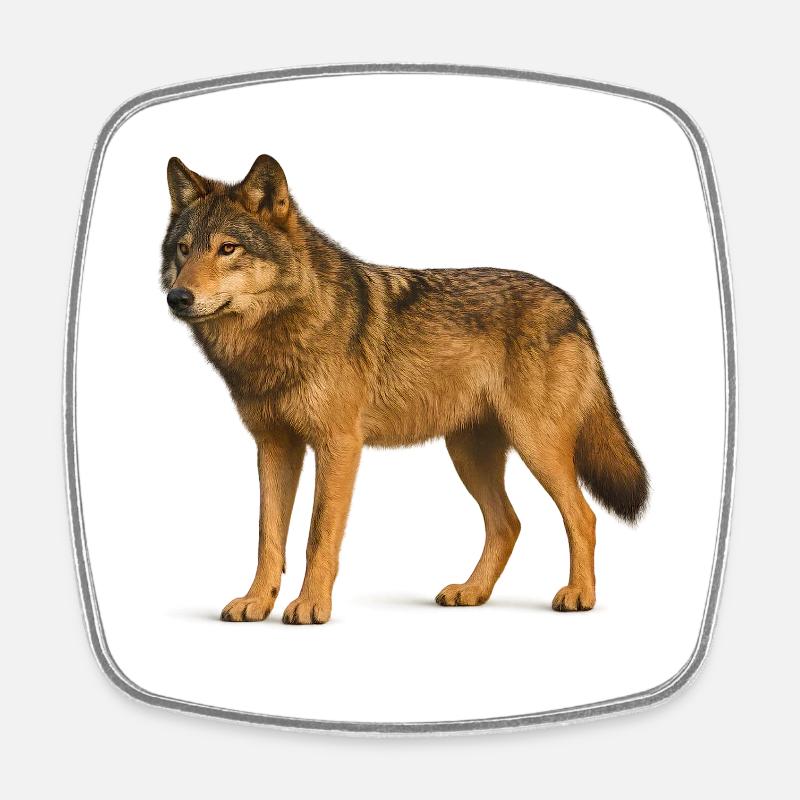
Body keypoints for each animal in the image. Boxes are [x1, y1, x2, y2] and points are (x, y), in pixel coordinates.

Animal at [161, 154, 648, 624]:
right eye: (184, 249)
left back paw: (579, 595)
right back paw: (471, 592)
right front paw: (256, 603)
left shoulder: (339, 446)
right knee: (507, 524)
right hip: (468, 454)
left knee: (582, 516)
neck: (276, 335)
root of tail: (573, 307)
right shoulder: (275, 446)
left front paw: (311, 606)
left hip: (536, 446)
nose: (178, 298)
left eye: (228, 248)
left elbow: (318, 536)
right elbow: (268, 537)